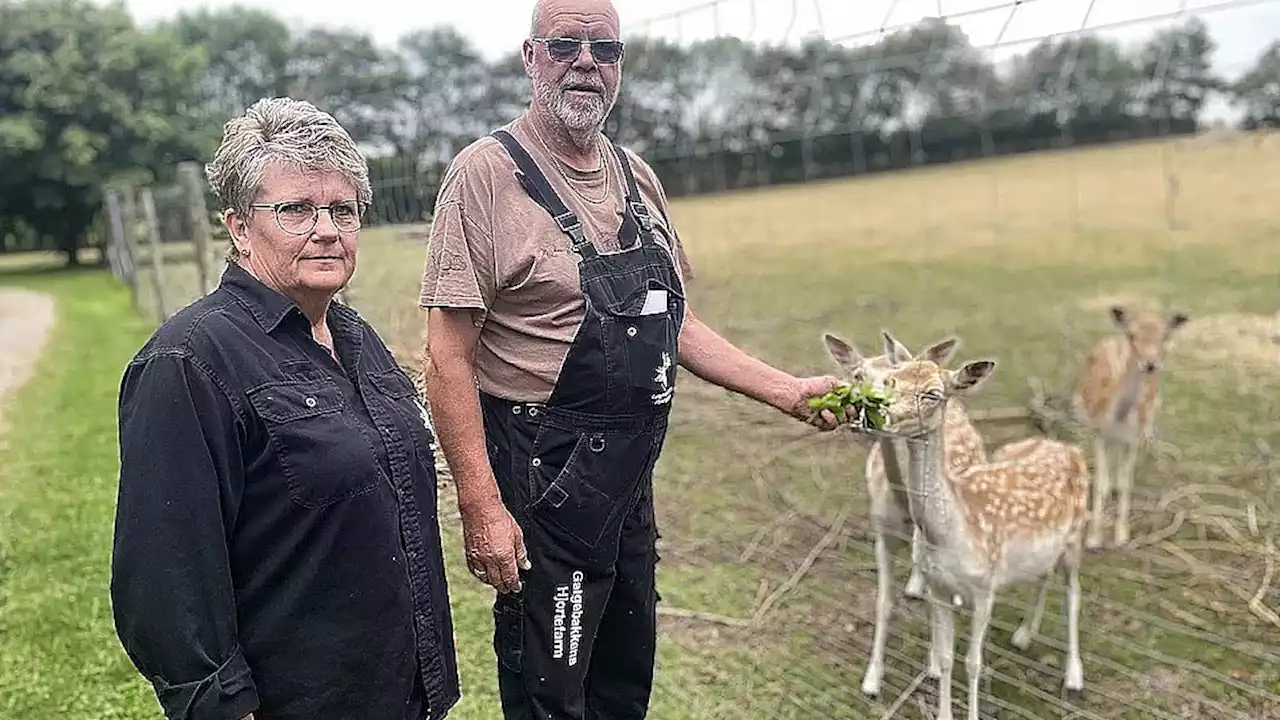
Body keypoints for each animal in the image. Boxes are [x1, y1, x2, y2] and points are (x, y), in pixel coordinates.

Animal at [819, 330, 988, 696]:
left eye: (888, 378)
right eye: (858, 375)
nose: (870, 412)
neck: (902, 501)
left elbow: (935, 600)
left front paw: (934, 666)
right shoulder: (882, 530)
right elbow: (884, 601)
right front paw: (871, 680)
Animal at [870, 353, 1090, 717]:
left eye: (932, 394)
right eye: (892, 380)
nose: (881, 415)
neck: (951, 535)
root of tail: (1071, 450)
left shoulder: (985, 588)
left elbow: (972, 662)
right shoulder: (939, 588)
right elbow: (946, 658)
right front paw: (944, 713)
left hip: (1077, 535)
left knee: (1074, 591)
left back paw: (1073, 676)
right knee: (1044, 574)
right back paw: (1024, 635)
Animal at [1070, 301, 1187, 543]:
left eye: (1165, 335)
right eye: (1132, 335)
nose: (1150, 364)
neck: (1118, 419)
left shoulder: (1134, 438)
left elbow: (1126, 484)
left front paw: (1122, 535)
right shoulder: (1098, 433)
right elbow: (1101, 484)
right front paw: (1093, 538)